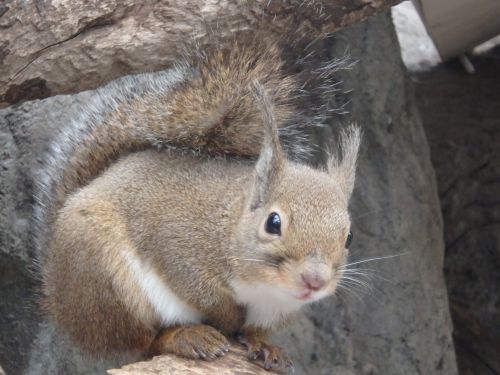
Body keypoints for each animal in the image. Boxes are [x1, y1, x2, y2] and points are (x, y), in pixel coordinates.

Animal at [34, 37, 360, 374]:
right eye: (273, 223)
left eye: (349, 237)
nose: (315, 280)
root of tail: (60, 304)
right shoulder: (182, 253)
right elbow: (207, 298)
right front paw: (229, 321)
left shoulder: (277, 309)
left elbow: (256, 330)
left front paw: (263, 344)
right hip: (110, 283)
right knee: (141, 341)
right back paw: (187, 336)